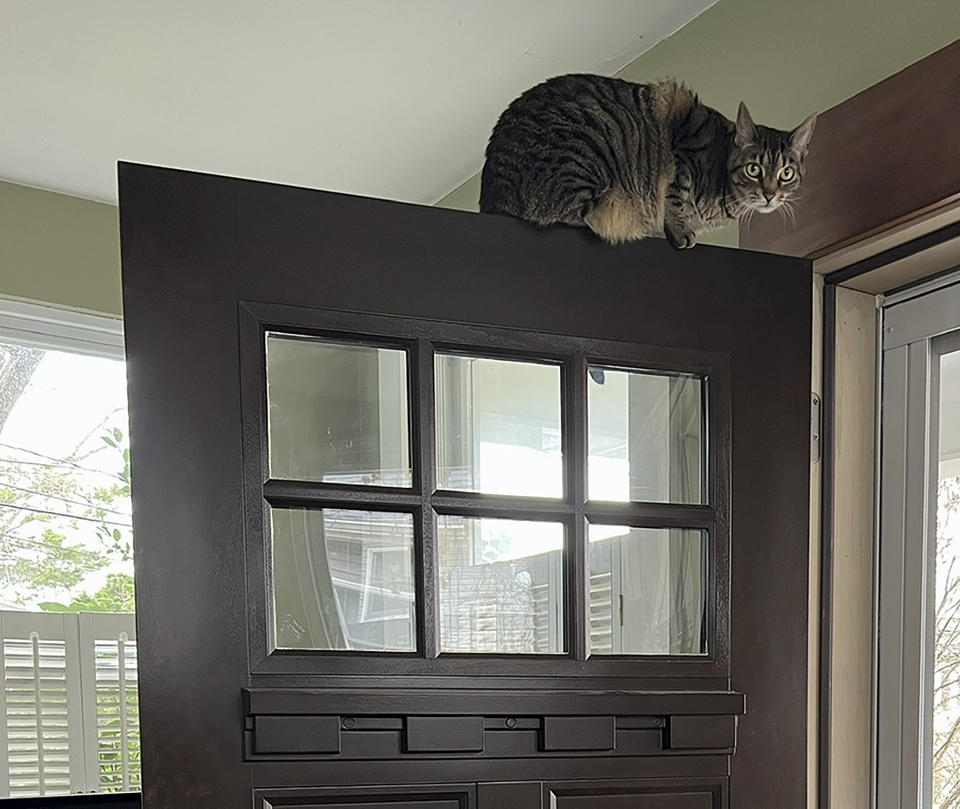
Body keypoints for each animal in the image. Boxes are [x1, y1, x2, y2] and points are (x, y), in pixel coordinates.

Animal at [480, 77, 816, 251]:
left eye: (786, 173)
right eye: (753, 169)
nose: (770, 194)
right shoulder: (683, 152)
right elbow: (676, 196)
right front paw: (678, 230)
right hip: (589, 151)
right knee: (574, 215)